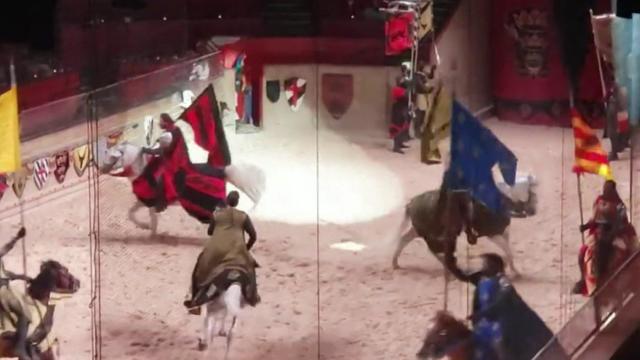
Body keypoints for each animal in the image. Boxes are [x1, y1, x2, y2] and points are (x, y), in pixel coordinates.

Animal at [100, 142, 264, 235]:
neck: (142, 170)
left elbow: (148, 218)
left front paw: (151, 233)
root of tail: (221, 170)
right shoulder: (144, 202)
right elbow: (132, 213)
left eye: (111, 156)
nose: (100, 168)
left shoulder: (151, 203)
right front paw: (146, 228)